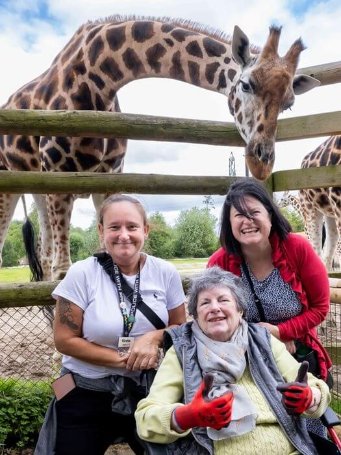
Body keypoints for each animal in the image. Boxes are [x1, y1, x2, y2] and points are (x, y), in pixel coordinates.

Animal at [0, 15, 318, 282]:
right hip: (12, 183)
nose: (261, 163)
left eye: (289, 103)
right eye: (246, 85)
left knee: (43, 254)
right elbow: (63, 272)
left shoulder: (108, 177)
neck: (99, 78)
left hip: (38, 187)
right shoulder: (59, 173)